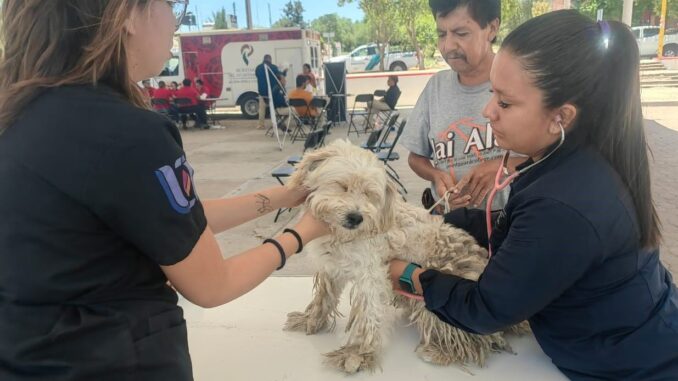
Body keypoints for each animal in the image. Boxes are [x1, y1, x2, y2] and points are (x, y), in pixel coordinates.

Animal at [284, 139, 528, 372]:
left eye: (370, 195)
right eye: (342, 185)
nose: (355, 217)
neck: (339, 235)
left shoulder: (370, 275)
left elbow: (366, 314)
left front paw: (356, 354)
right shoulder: (331, 266)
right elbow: (323, 297)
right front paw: (311, 320)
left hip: (436, 302)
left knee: (477, 339)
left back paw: (439, 352)